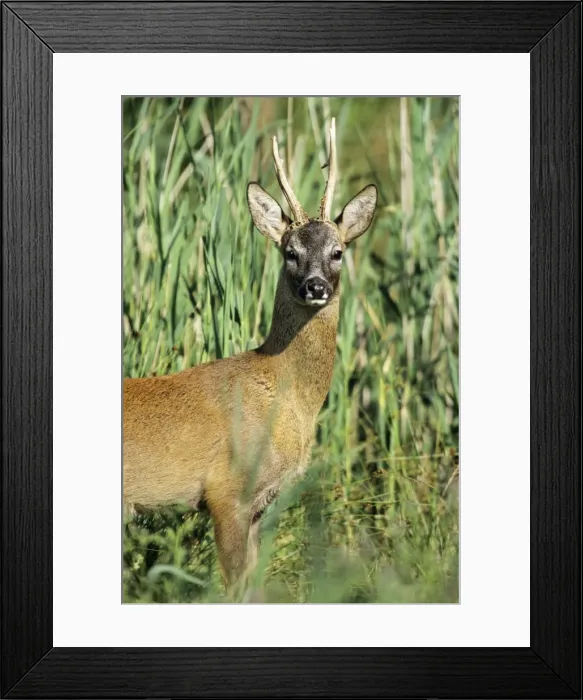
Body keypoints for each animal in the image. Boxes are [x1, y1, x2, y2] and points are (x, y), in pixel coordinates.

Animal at [123, 118, 377, 593]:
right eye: (290, 253)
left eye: (337, 252)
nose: (315, 286)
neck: (283, 395)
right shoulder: (226, 491)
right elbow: (234, 590)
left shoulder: (260, 504)